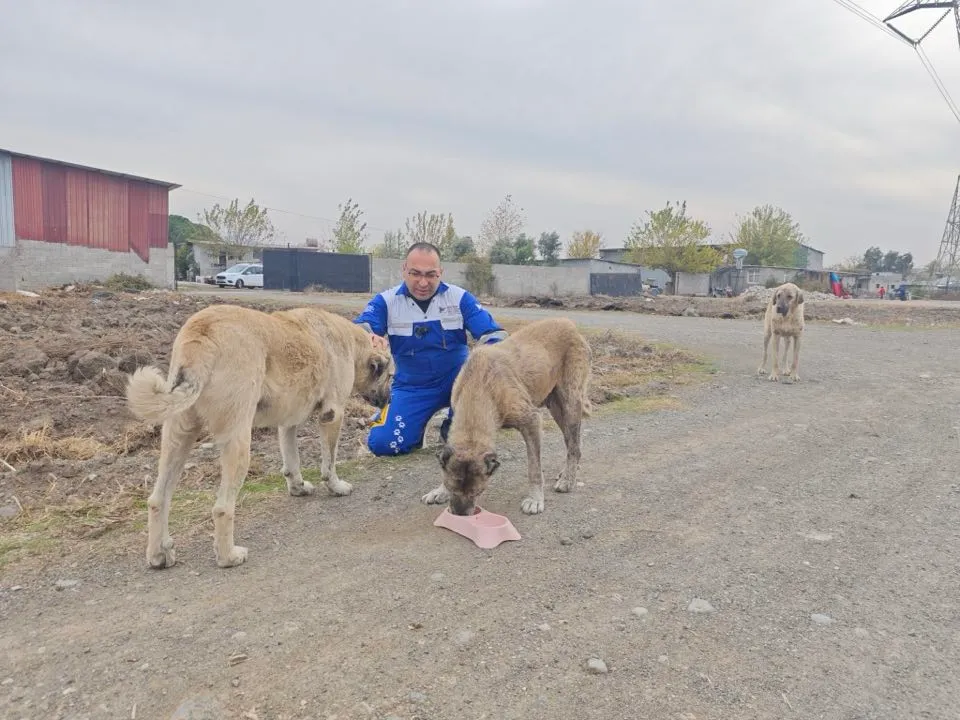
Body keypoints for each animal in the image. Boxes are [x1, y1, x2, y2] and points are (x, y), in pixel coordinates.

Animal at [125, 302, 392, 568]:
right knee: (222, 508)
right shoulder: (332, 415)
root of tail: (202, 331)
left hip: (177, 438)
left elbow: (291, 460)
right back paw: (228, 556)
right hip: (239, 442)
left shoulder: (289, 421)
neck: (352, 342)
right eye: (390, 376)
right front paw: (336, 487)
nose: (388, 400)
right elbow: (330, 463)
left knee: (157, 499)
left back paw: (159, 555)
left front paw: (298, 487)